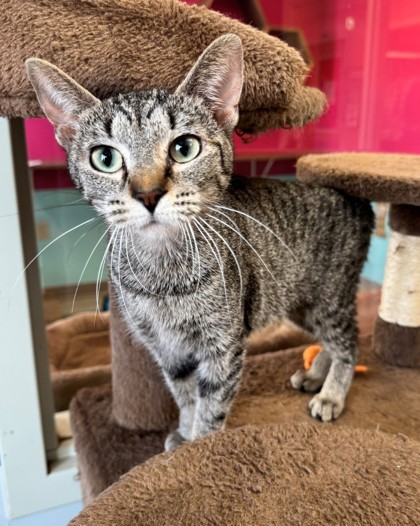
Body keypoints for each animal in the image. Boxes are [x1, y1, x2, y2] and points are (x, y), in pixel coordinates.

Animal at [26, 34, 374, 454]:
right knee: (330, 341)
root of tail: (354, 198)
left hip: (328, 297)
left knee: (349, 342)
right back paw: (315, 374)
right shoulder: (167, 350)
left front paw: (198, 449)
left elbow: (211, 404)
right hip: (298, 302)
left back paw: (331, 394)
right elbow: (185, 396)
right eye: (104, 157)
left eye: (184, 148)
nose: (147, 194)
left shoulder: (223, 346)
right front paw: (184, 433)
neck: (163, 274)